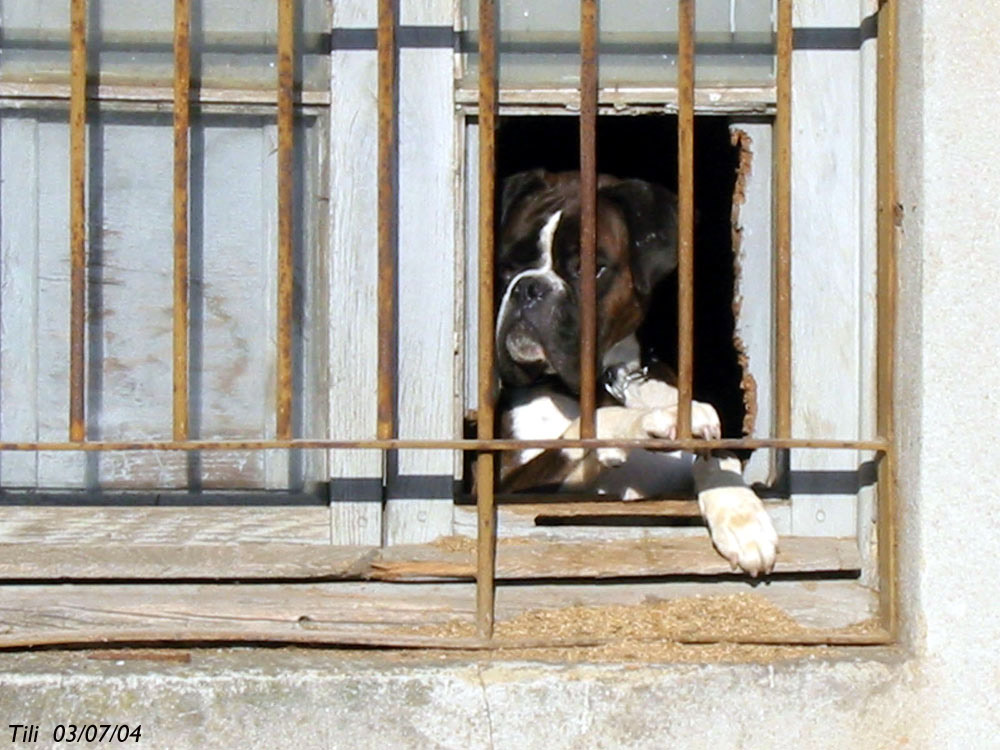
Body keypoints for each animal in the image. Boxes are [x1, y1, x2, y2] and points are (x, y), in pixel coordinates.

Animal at [496, 170, 776, 580]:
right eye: (506, 266)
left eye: (588, 269)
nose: (529, 287)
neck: (609, 381)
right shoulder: (509, 490)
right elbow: (586, 430)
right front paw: (656, 420)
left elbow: (717, 461)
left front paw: (743, 518)